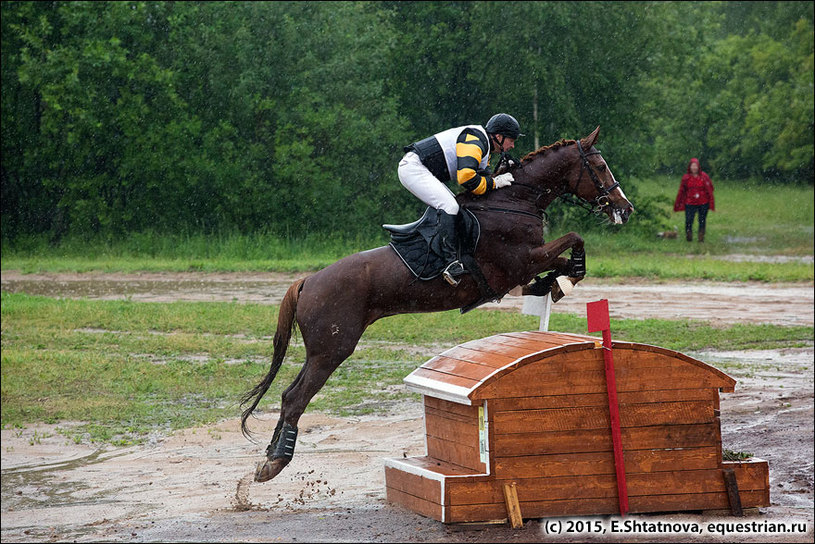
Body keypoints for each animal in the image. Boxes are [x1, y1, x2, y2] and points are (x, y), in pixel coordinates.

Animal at [239, 126, 636, 480]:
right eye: (600, 167)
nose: (626, 209)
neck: (514, 202)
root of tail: (308, 282)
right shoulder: (520, 262)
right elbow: (574, 237)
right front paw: (563, 281)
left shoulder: (524, 268)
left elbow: (565, 261)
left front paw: (557, 284)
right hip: (332, 349)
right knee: (296, 397)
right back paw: (275, 463)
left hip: (321, 350)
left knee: (289, 394)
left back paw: (269, 457)